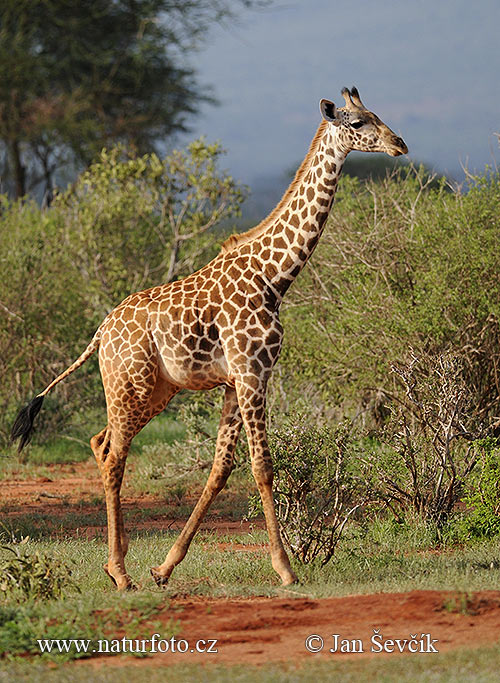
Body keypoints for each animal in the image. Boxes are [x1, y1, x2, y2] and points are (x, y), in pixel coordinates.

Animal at [11, 87, 408, 588]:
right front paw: (285, 569)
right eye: (357, 122)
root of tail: (100, 333)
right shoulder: (252, 372)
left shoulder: (235, 381)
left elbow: (221, 469)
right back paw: (120, 572)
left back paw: (117, 562)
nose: (399, 144)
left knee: (100, 444)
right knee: (114, 455)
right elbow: (261, 466)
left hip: (155, 390)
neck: (275, 276)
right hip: (130, 385)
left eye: (377, 114)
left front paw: (165, 566)